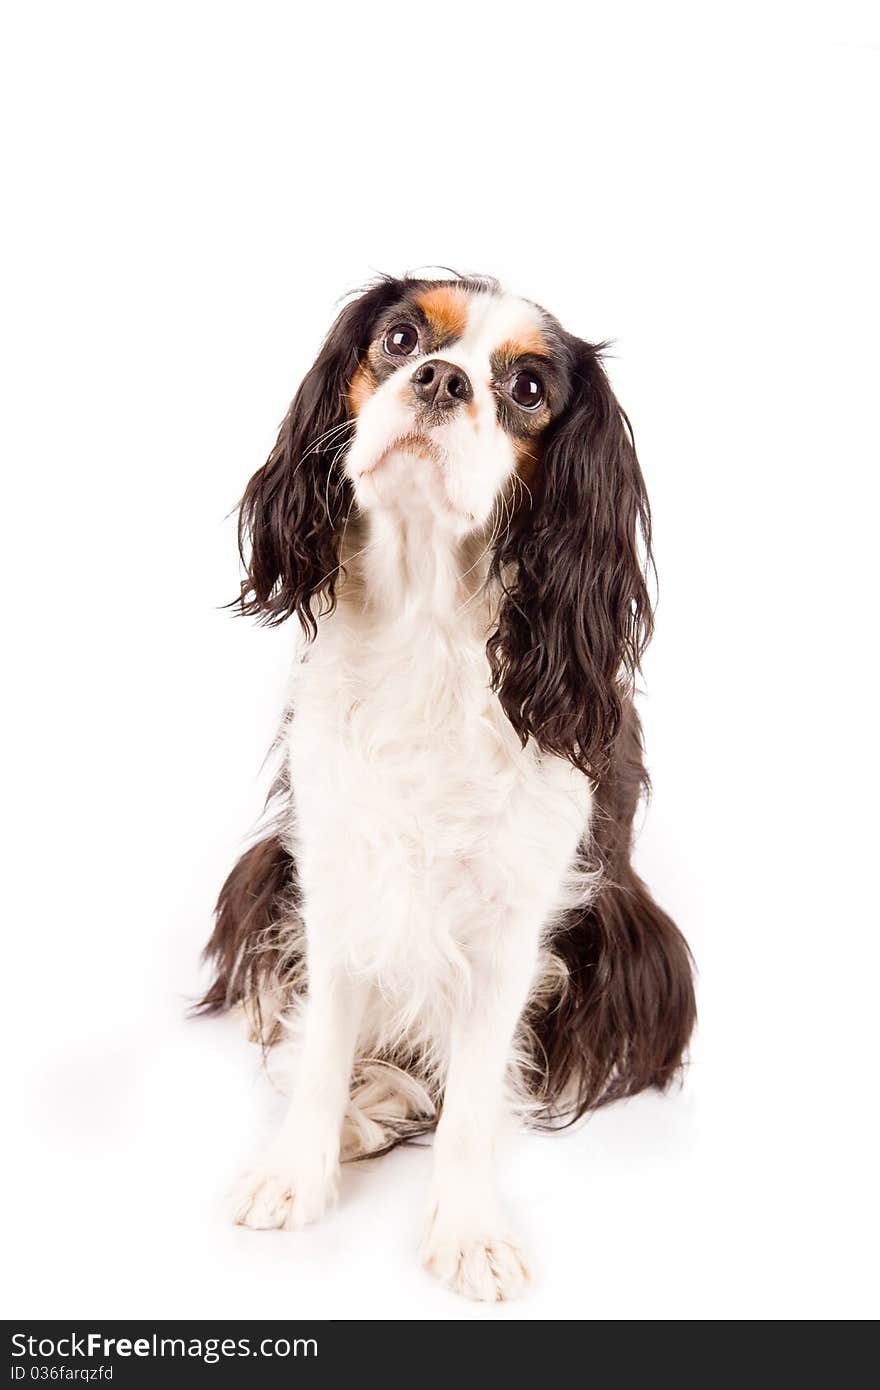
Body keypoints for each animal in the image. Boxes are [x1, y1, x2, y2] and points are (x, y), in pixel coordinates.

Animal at [197, 273, 692, 1301]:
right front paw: (295, 1170)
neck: (425, 626)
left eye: (530, 389)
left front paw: (466, 1231)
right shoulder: (337, 871)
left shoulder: (516, 925)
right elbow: (321, 1044)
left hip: (647, 954)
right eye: (400, 337)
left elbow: (471, 1098)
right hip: (266, 866)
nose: (439, 380)